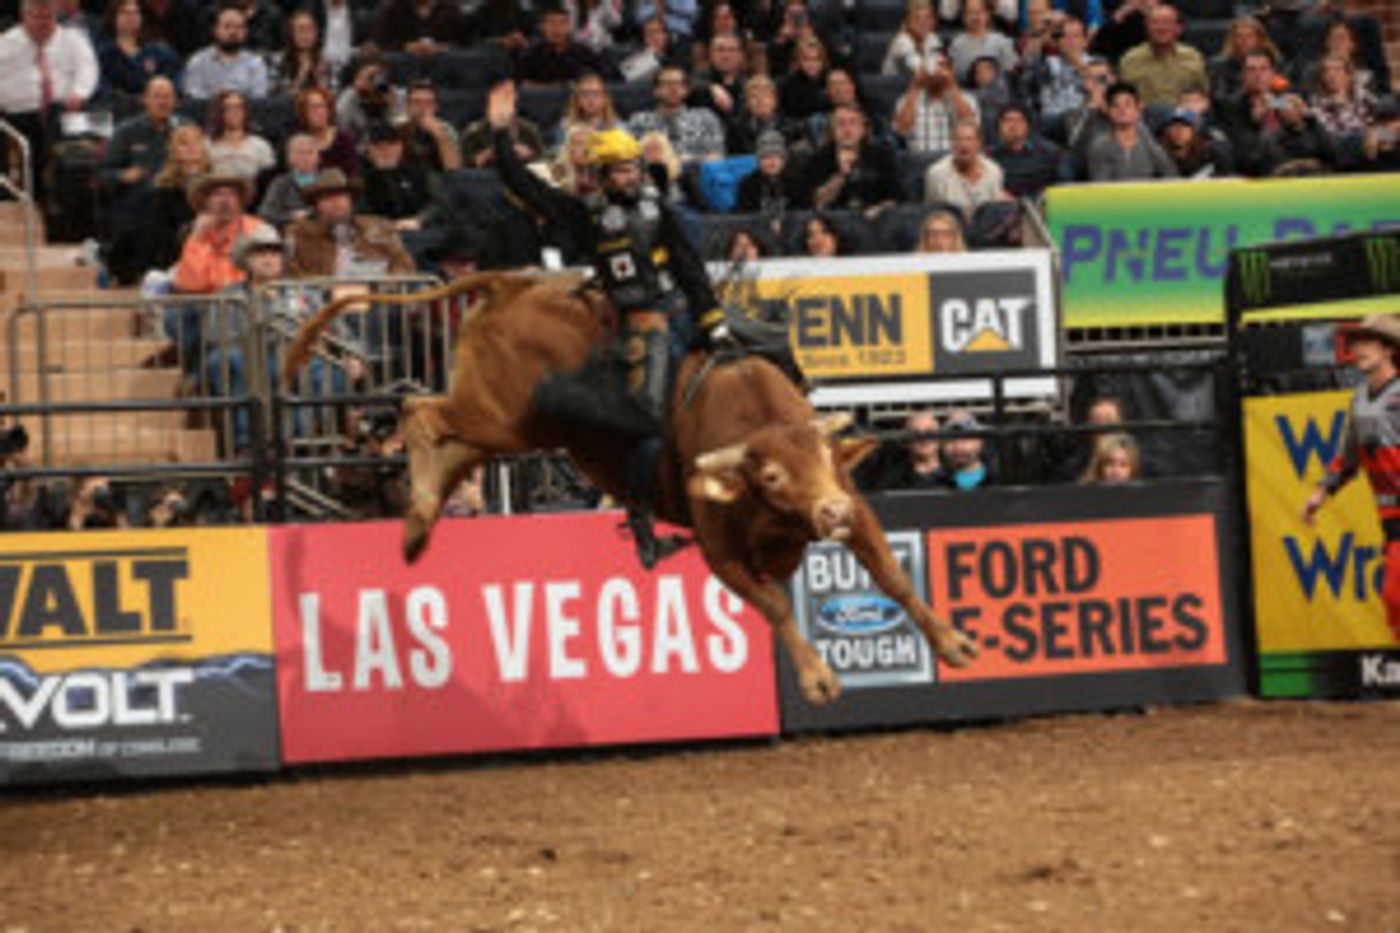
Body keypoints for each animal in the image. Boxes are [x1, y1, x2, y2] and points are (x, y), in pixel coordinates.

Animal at [284, 272, 978, 703]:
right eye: (772, 475)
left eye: (831, 462)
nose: (829, 510)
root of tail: (514, 284)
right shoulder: (718, 547)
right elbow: (775, 605)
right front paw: (815, 679)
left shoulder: (856, 507)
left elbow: (892, 574)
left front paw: (952, 641)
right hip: (502, 413)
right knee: (423, 414)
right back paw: (420, 505)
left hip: (506, 427)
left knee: (448, 445)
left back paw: (418, 524)